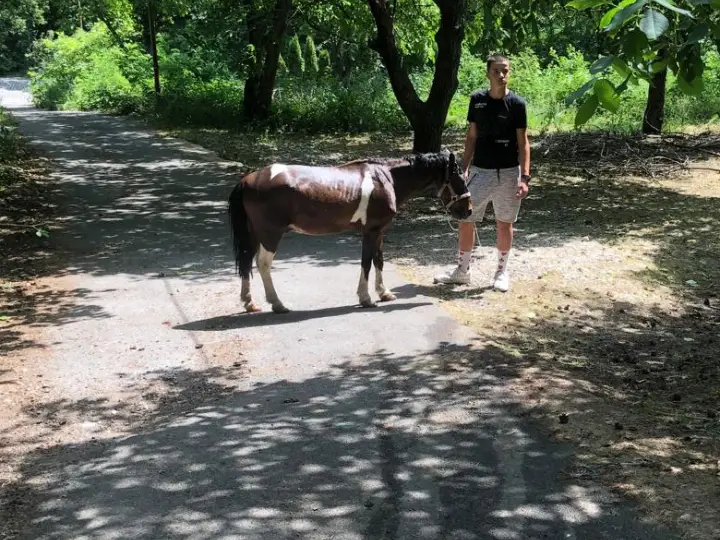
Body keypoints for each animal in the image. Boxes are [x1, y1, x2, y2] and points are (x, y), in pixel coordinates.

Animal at [227, 149, 472, 313]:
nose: (468, 210)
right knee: (263, 264)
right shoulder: (371, 231)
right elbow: (366, 262)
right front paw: (366, 298)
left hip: (255, 233)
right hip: (270, 234)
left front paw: (384, 293)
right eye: (459, 179)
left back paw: (250, 303)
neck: (385, 178)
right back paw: (277, 304)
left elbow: (378, 261)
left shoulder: (379, 231)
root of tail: (248, 179)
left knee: (247, 261)